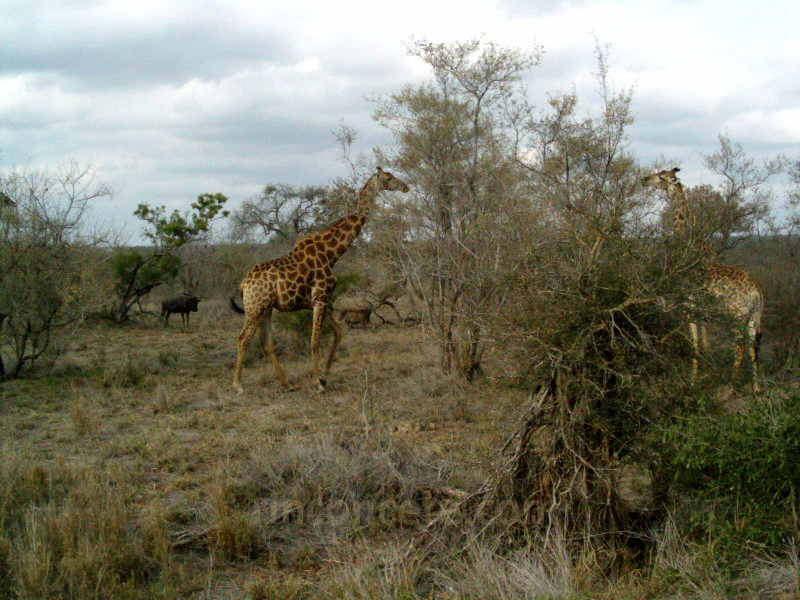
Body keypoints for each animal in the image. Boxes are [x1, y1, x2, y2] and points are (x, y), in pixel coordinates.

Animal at [230, 168, 406, 394]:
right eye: (388, 177)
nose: (405, 186)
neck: (331, 253)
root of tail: (243, 284)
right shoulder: (320, 297)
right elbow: (315, 340)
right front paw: (317, 383)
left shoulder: (322, 300)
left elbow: (338, 333)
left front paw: (323, 377)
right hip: (255, 308)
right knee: (243, 338)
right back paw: (238, 385)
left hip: (266, 308)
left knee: (266, 342)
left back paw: (287, 384)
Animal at [640, 166, 764, 392]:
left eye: (661, 177)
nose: (644, 179)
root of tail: (757, 292)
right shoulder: (700, 309)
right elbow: (703, 340)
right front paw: (704, 374)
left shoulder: (688, 305)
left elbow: (694, 343)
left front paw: (692, 381)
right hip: (754, 316)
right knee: (752, 345)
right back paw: (756, 389)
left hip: (737, 315)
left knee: (739, 345)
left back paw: (730, 387)